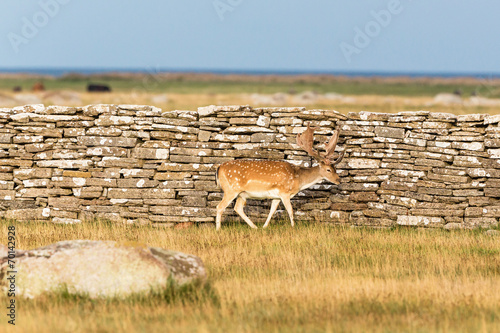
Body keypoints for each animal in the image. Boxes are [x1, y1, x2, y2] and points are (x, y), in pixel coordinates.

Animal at [215, 123, 344, 230]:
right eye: (328, 170)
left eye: (335, 169)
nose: (339, 180)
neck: (298, 179)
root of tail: (219, 167)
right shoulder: (285, 192)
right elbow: (290, 210)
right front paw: (293, 227)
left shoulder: (276, 196)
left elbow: (272, 211)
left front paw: (264, 226)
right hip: (231, 189)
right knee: (220, 207)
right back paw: (218, 229)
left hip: (242, 194)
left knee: (237, 208)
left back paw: (255, 227)